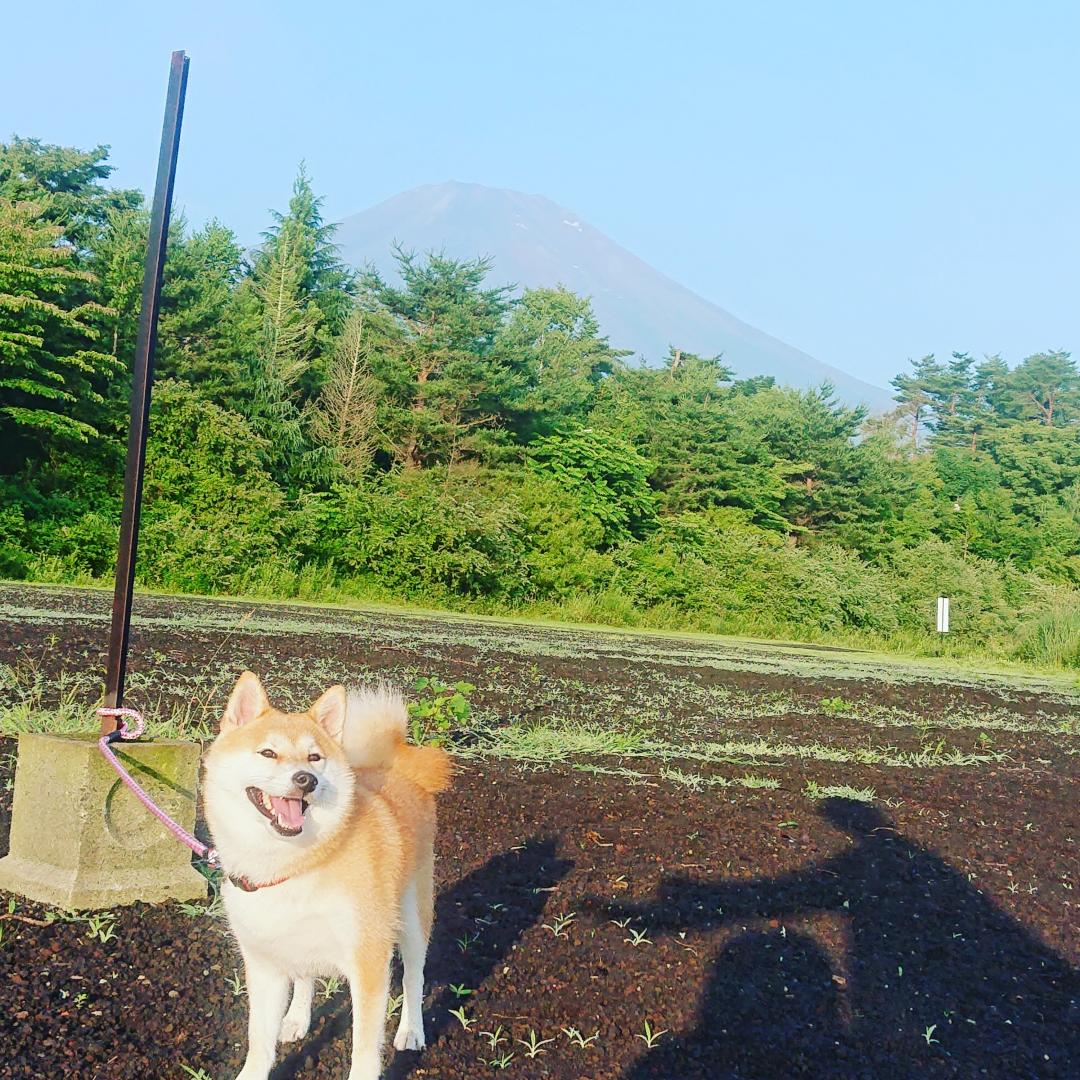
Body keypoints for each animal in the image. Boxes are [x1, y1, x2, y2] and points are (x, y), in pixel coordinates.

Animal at [203, 669, 451, 1075]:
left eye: (314, 757)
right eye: (268, 752)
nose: (307, 778)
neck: (296, 864)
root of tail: (395, 766)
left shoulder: (368, 962)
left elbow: (364, 1050)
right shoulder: (264, 965)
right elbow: (259, 1042)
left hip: (413, 921)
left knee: (415, 977)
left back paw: (412, 1031)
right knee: (305, 977)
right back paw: (295, 1018)